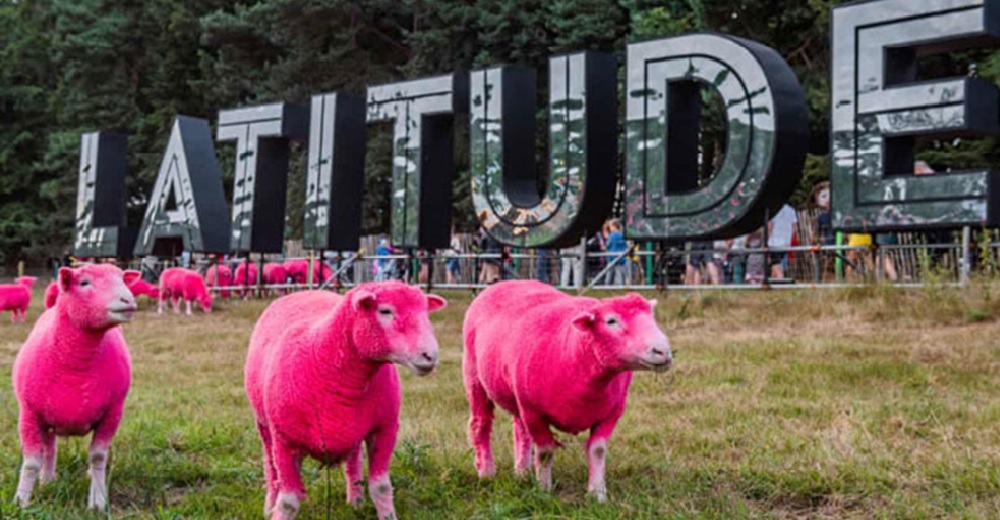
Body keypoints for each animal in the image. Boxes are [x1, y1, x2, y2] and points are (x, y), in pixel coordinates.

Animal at [10, 266, 139, 510]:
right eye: (84, 283)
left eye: (122, 279)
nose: (128, 299)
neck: (78, 365)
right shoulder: (29, 414)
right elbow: (31, 462)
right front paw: (20, 502)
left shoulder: (112, 413)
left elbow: (97, 456)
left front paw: (98, 501)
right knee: (50, 449)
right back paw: (47, 480)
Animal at [244, 282, 448, 516]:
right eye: (385, 311)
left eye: (425, 311)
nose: (430, 356)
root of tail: (305, 290)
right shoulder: (285, 440)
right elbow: (288, 501)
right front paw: (277, 511)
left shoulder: (385, 428)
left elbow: (381, 487)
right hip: (264, 427)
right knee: (270, 467)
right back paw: (269, 505)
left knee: (354, 460)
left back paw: (356, 501)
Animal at [462, 282, 672, 502]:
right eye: (611, 321)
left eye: (651, 316)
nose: (663, 351)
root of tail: (505, 283)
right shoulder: (534, 412)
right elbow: (545, 452)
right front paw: (544, 492)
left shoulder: (611, 413)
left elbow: (597, 450)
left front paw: (597, 494)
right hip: (474, 375)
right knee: (480, 424)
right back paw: (487, 473)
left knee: (519, 430)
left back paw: (522, 472)